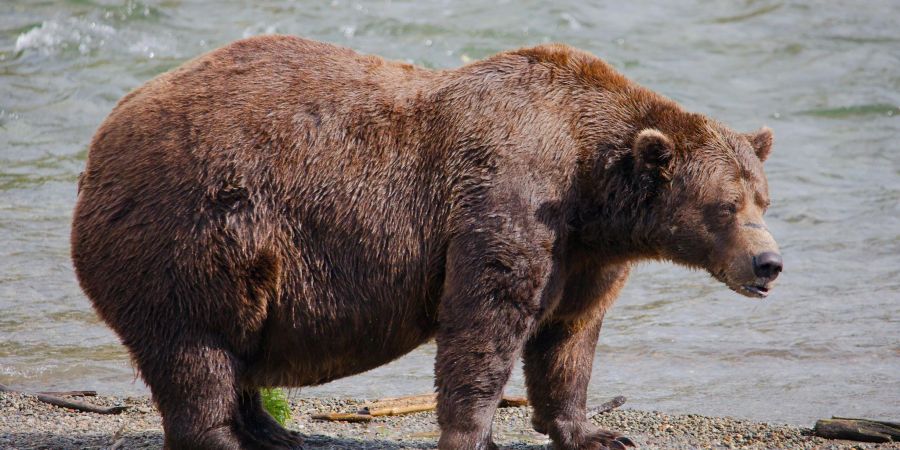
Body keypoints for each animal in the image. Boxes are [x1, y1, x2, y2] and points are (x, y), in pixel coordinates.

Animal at [72, 36, 780, 450]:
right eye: (725, 205)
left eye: (763, 198)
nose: (769, 262)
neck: (589, 183)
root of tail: (101, 140)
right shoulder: (508, 196)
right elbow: (486, 319)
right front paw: (474, 433)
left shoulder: (586, 253)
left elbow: (569, 336)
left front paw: (593, 431)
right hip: (194, 229)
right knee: (198, 348)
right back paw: (228, 436)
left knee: (235, 347)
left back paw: (274, 432)